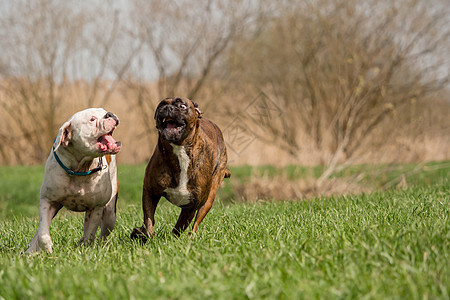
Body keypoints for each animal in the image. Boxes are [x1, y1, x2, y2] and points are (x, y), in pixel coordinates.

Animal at [26, 108, 121, 253]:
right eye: (92, 119)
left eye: (104, 111)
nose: (109, 114)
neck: (80, 168)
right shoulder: (48, 201)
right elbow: (42, 232)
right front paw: (47, 248)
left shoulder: (96, 208)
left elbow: (90, 233)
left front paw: (86, 249)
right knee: (40, 230)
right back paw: (30, 251)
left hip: (110, 213)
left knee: (102, 234)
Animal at [129, 97, 229, 240]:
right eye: (162, 104)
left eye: (182, 106)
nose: (168, 108)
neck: (179, 149)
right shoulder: (150, 192)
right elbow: (148, 222)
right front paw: (143, 233)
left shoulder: (191, 206)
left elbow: (179, 227)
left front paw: (171, 240)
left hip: (209, 198)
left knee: (196, 223)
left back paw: (191, 237)